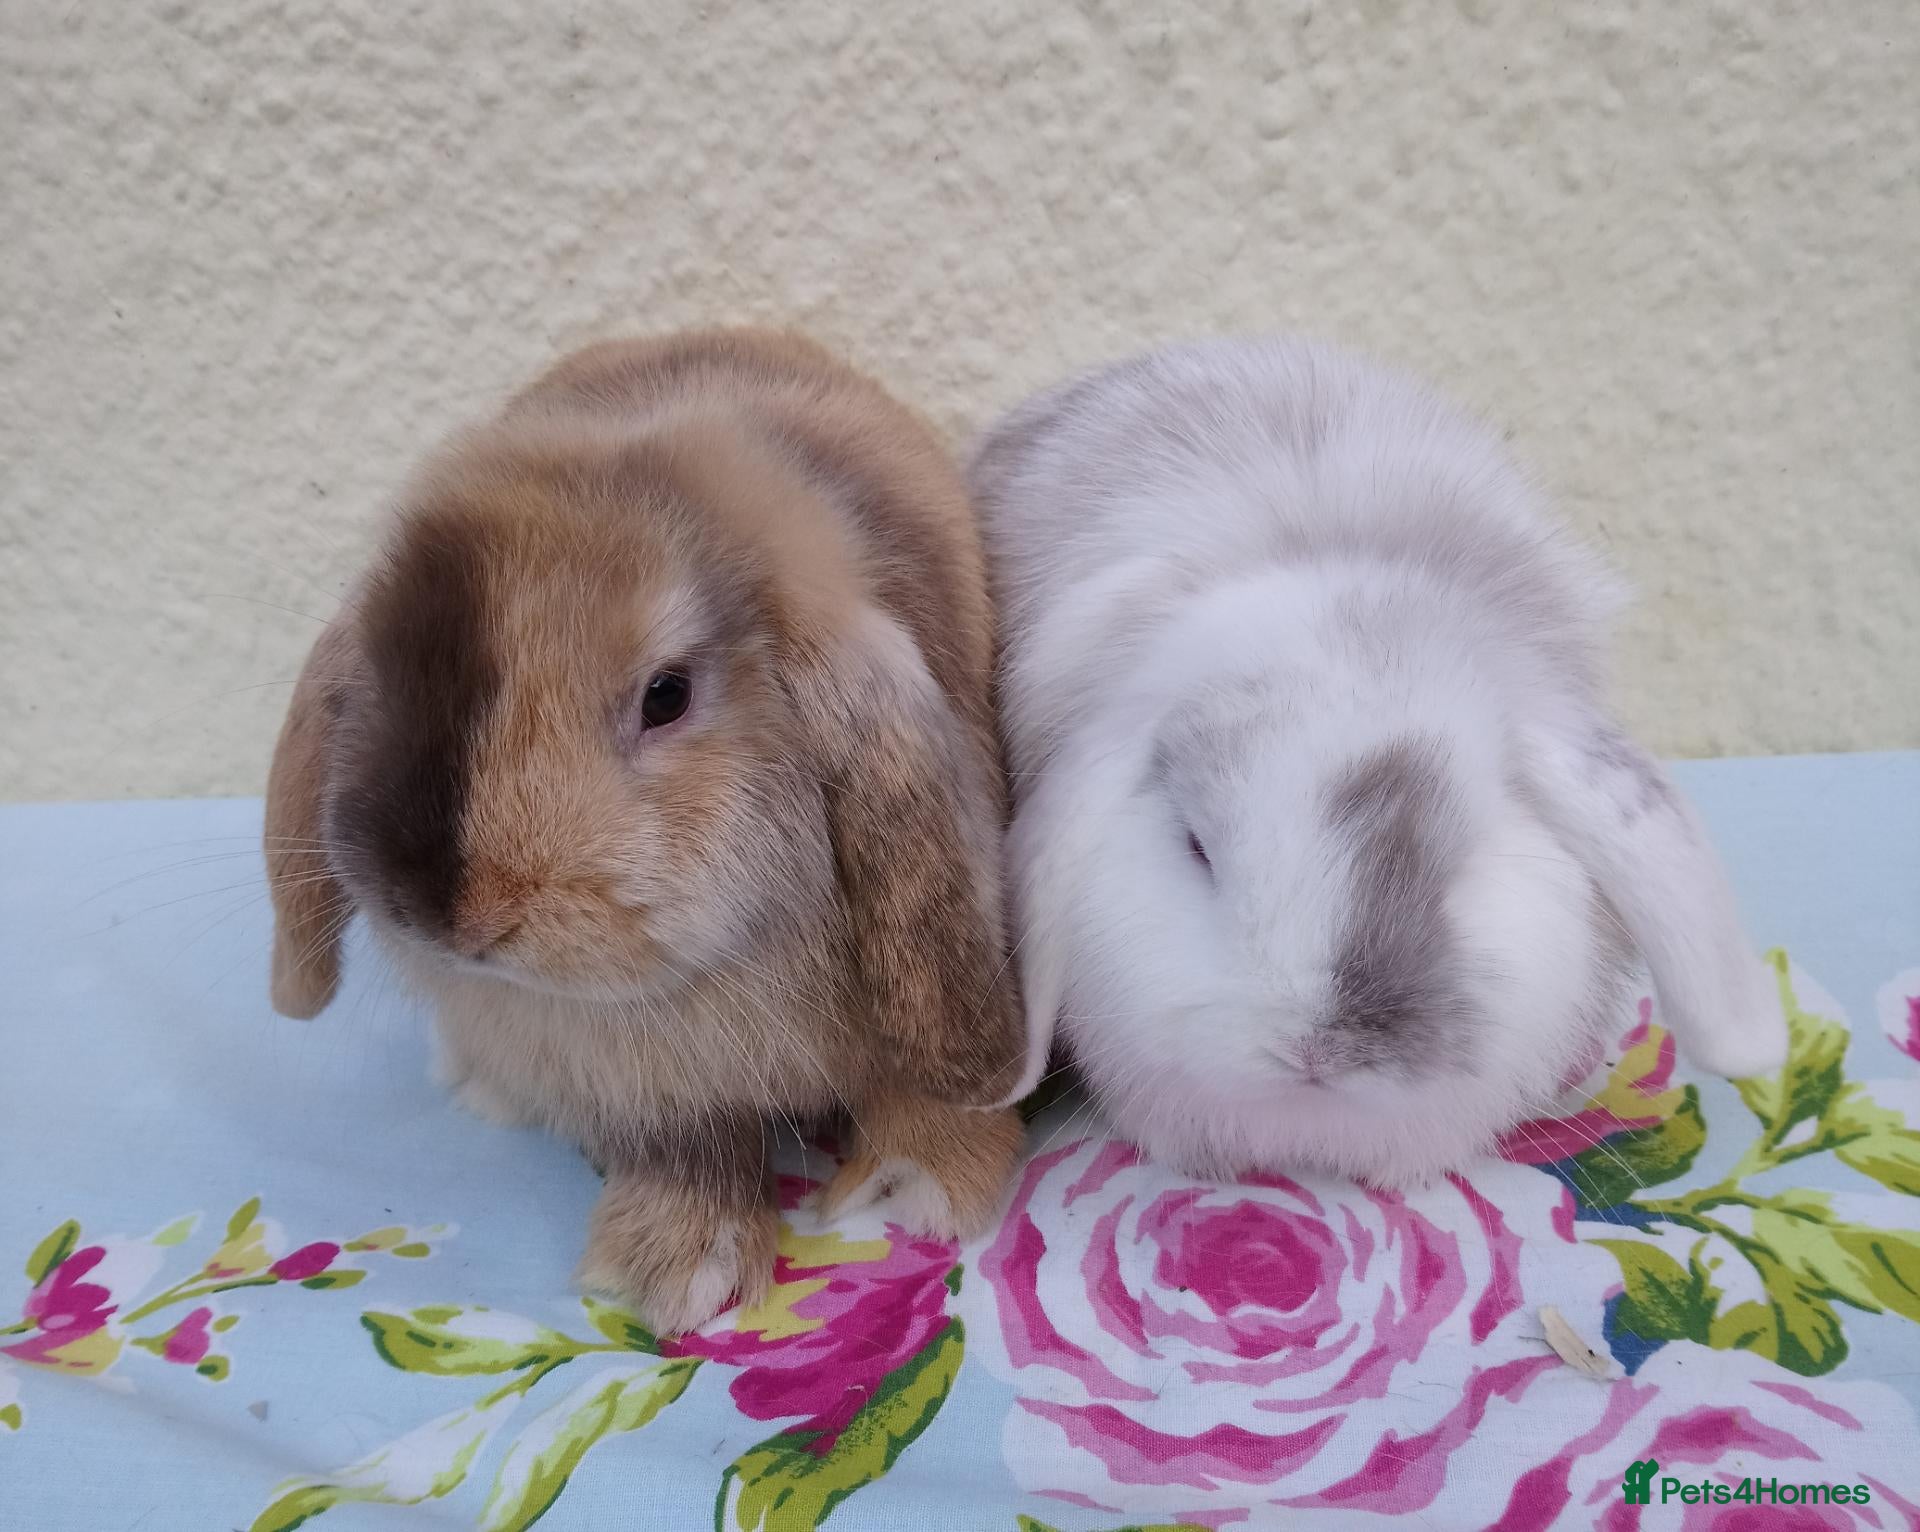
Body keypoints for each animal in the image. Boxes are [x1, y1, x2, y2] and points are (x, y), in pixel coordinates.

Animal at [264, 328, 1041, 1333]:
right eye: (383, 673)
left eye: (666, 695)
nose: (454, 918)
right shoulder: (651, 1090)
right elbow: (689, 1145)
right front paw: (675, 1268)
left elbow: (913, 1081)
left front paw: (918, 1189)